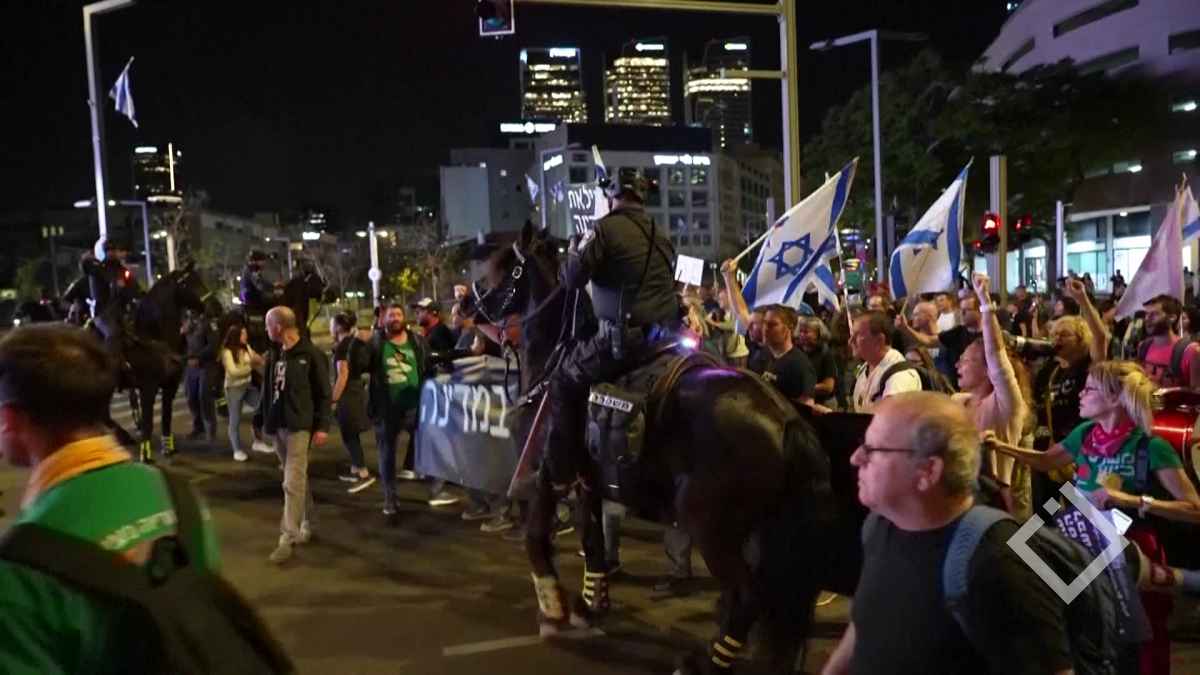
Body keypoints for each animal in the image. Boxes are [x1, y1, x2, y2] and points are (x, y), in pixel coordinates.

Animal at [464, 222, 846, 675]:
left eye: (497, 271)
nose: (466, 304)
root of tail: (787, 421)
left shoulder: (546, 474)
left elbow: (535, 536)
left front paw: (553, 606)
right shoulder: (587, 484)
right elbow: (593, 541)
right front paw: (591, 605)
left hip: (711, 528)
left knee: (746, 595)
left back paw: (703, 662)